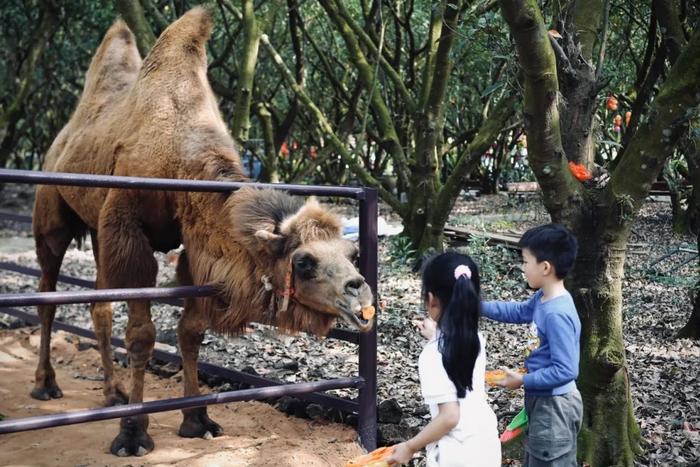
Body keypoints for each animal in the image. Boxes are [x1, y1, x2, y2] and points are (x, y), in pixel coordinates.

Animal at [30, 7, 374, 458]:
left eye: (352, 252)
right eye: (303, 261)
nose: (362, 296)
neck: (180, 157)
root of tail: (60, 141)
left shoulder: (196, 246)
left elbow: (191, 332)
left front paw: (197, 419)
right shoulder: (128, 227)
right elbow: (141, 336)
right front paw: (132, 435)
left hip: (98, 233)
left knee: (98, 305)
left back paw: (113, 393)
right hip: (51, 214)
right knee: (48, 295)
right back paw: (46, 385)